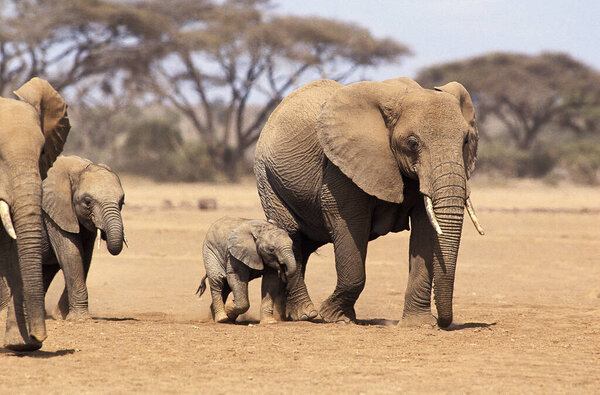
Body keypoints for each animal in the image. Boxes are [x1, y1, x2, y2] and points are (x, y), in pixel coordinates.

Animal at [39, 155, 126, 322]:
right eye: (87, 201)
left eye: (122, 202)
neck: (78, 168)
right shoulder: (53, 213)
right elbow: (71, 254)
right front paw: (79, 319)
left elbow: (85, 257)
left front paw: (61, 316)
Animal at [253, 77, 482, 328]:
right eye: (412, 143)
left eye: (466, 140)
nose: (443, 322)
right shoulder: (341, 167)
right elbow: (349, 223)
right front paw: (335, 317)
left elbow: (426, 229)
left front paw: (418, 324)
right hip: (267, 176)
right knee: (290, 232)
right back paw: (306, 314)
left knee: (305, 242)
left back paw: (290, 315)